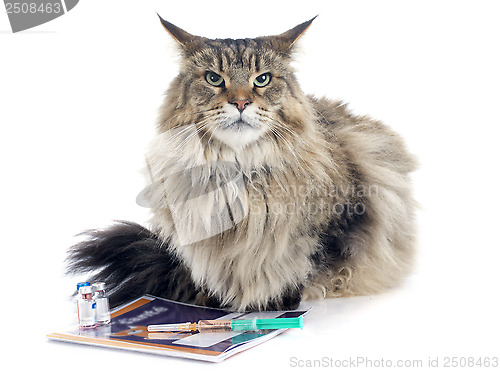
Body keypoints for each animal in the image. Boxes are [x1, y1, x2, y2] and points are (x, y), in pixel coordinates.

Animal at [68, 16, 416, 312]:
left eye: (262, 80)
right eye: (213, 79)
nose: (240, 102)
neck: (237, 173)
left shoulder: (336, 223)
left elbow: (306, 265)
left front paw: (279, 302)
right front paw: (212, 303)